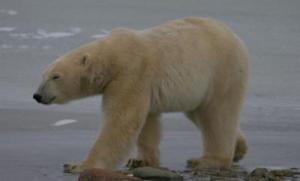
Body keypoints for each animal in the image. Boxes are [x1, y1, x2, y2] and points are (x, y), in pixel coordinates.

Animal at [32, 16, 248, 173]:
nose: (37, 95)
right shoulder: (141, 85)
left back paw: (207, 160)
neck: (113, 56)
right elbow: (147, 122)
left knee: (217, 115)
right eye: (43, 75)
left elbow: (121, 121)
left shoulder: (131, 74)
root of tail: (235, 36)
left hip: (222, 72)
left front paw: (78, 165)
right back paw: (239, 148)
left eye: (56, 76)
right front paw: (141, 160)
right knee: (200, 114)